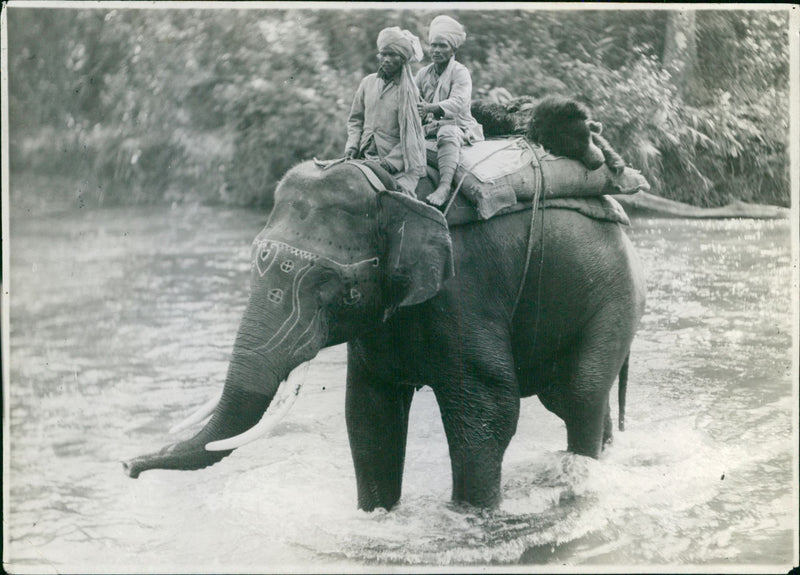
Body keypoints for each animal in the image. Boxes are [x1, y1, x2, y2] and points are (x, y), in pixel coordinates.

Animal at [126, 160, 648, 510]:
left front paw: (471, 515)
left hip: (615, 295)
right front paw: (377, 515)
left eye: (330, 282)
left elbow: (488, 410)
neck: (396, 192)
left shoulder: (465, 290)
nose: (127, 467)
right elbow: (368, 414)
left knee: (580, 393)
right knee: (572, 398)